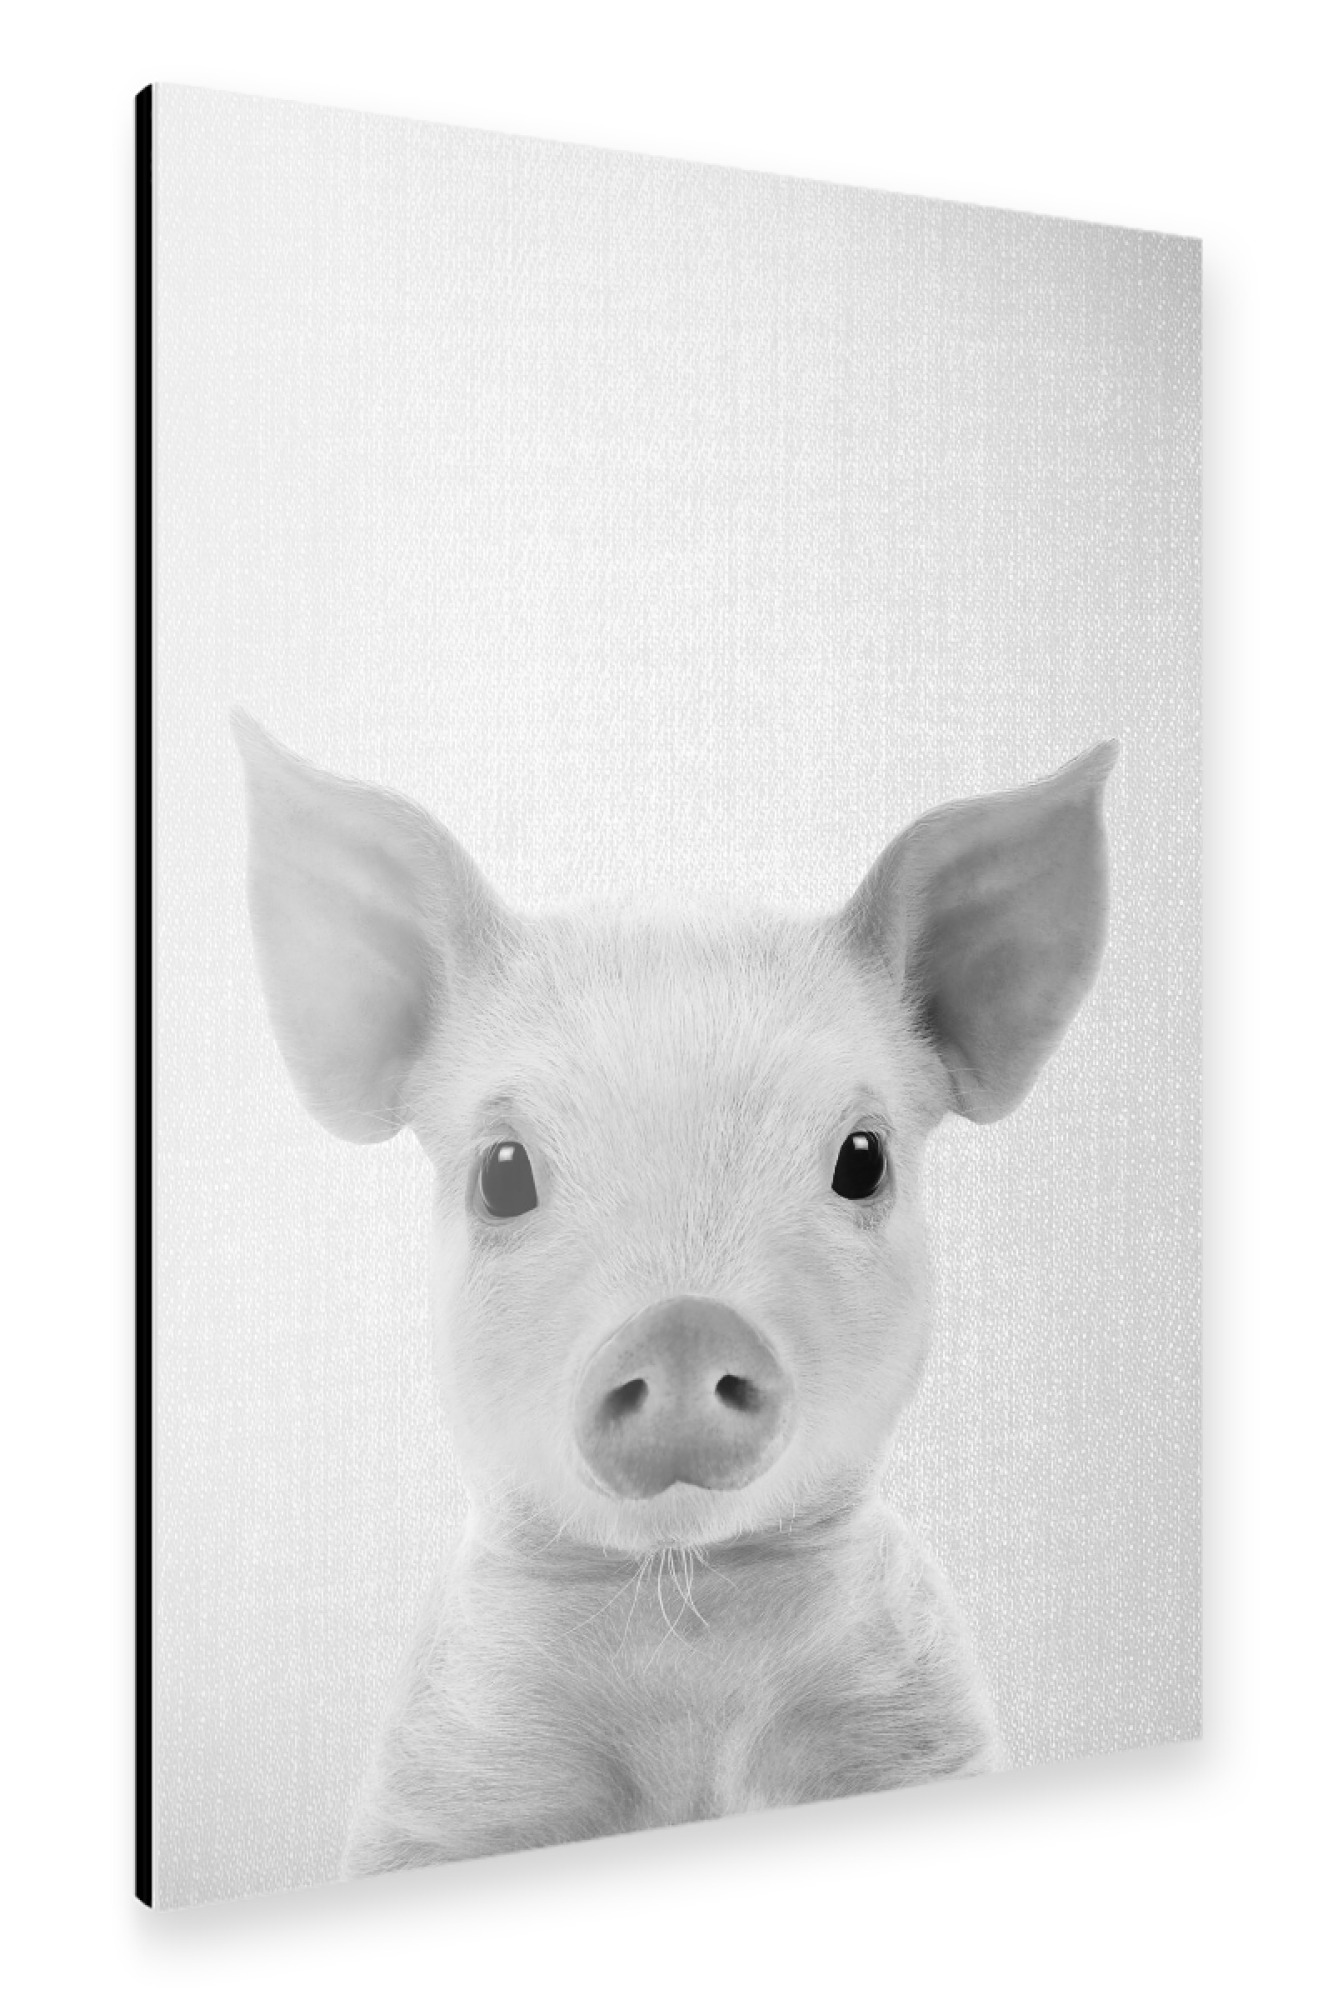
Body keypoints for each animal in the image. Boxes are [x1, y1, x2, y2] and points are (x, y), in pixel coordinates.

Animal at [233, 712, 1117, 1876]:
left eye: (863, 1157)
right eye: (502, 1171)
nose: (686, 1325)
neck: (684, 1623)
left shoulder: (926, 1731)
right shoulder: (437, 1792)